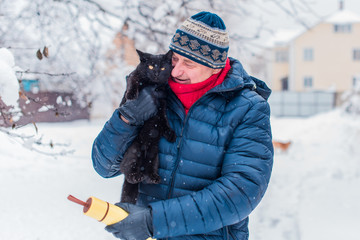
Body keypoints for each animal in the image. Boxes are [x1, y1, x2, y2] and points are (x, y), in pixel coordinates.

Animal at [120, 49, 176, 203]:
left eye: (162, 68)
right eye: (150, 66)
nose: (156, 73)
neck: (153, 85)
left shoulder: (162, 103)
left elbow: (164, 120)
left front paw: (170, 134)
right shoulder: (134, 76)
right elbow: (133, 81)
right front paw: (131, 95)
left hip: (154, 155)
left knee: (149, 172)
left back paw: (154, 177)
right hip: (133, 151)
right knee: (127, 172)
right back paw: (135, 176)